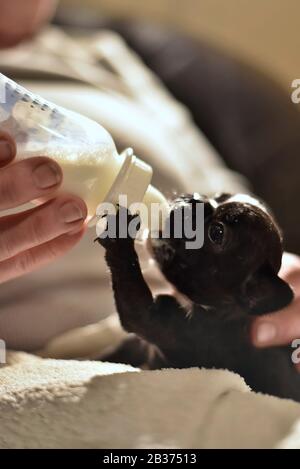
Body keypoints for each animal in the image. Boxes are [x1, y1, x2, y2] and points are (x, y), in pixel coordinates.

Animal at [96, 194, 300, 402]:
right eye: (219, 197)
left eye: (217, 233)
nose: (196, 200)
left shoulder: (168, 326)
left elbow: (132, 298)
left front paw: (119, 234)